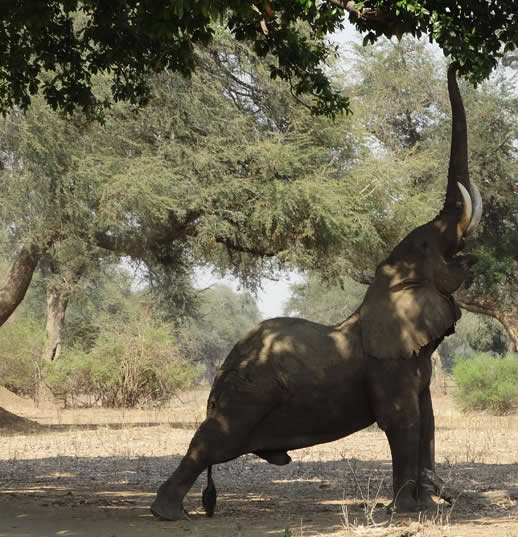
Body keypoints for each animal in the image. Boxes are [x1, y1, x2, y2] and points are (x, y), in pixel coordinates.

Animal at [152, 63, 486, 520]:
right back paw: (167, 513)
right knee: (213, 442)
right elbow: (401, 421)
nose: (451, 64)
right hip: (245, 396)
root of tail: (221, 373)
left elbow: (427, 423)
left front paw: (423, 509)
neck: (381, 291)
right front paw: (406, 513)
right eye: (424, 245)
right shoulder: (387, 365)